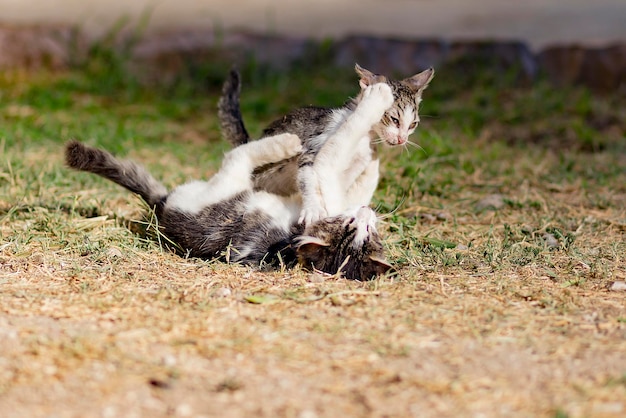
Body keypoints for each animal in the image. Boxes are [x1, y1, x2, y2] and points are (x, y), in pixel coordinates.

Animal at [66, 129, 392, 280]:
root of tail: (163, 207)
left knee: (239, 154)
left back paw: (286, 142)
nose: (366, 213)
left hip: (227, 182)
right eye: (354, 225)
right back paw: (288, 142)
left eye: (366, 232)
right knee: (241, 153)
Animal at [217, 63, 432, 224]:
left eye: (412, 125)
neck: (365, 137)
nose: (402, 139)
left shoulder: (357, 166)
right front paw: (314, 208)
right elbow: (309, 181)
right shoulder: (311, 150)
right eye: (394, 119)